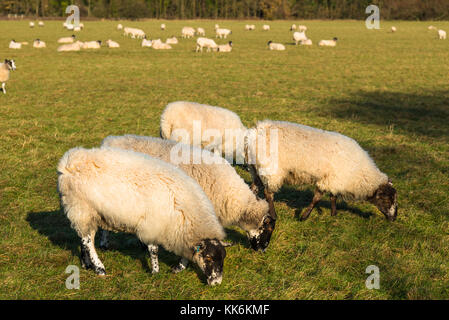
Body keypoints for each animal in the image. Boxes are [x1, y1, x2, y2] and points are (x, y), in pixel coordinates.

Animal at [57, 148, 229, 284]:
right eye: (209, 258)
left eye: (223, 258)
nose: (217, 283)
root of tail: (69, 160)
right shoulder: (153, 224)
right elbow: (153, 250)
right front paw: (155, 271)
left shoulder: (179, 231)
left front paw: (178, 267)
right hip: (81, 208)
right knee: (87, 240)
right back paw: (100, 268)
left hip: (88, 214)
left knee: (84, 238)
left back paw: (86, 263)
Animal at [247, 120, 398, 222]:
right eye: (387, 198)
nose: (394, 218)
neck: (360, 173)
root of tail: (256, 130)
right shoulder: (330, 180)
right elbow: (317, 198)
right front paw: (304, 216)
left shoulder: (334, 181)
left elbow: (333, 197)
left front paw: (333, 214)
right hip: (271, 170)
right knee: (268, 193)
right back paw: (274, 215)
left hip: (256, 169)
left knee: (253, 188)